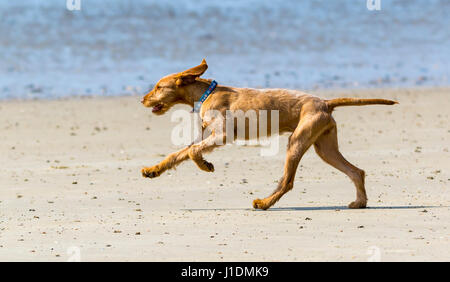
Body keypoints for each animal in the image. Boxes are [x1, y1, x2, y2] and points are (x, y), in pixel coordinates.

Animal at [141, 59, 398, 209]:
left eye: (158, 87)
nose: (142, 99)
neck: (206, 94)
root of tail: (325, 102)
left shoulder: (223, 135)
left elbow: (193, 152)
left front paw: (205, 165)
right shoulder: (206, 137)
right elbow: (179, 154)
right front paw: (154, 170)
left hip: (297, 141)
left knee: (288, 181)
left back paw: (264, 203)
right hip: (324, 148)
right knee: (356, 171)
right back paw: (360, 202)